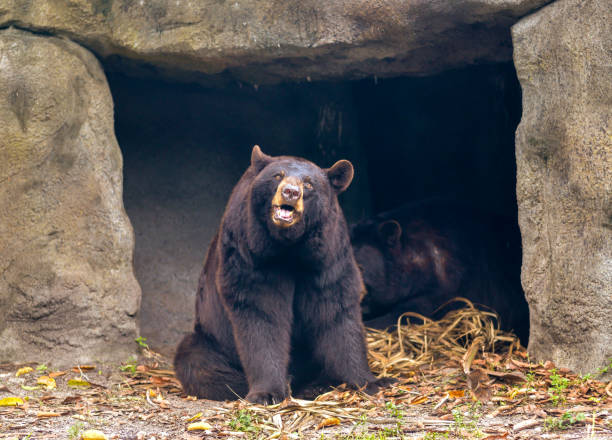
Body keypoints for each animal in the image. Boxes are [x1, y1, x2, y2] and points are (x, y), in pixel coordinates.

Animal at [172, 146, 392, 404]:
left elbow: (336, 309)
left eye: (308, 183)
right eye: (277, 175)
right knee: (198, 362)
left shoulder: (327, 256)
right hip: (210, 338)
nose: (290, 192)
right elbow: (261, 313)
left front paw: (372, 381)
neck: (289, 248)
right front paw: (266, 392)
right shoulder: (250, 254)